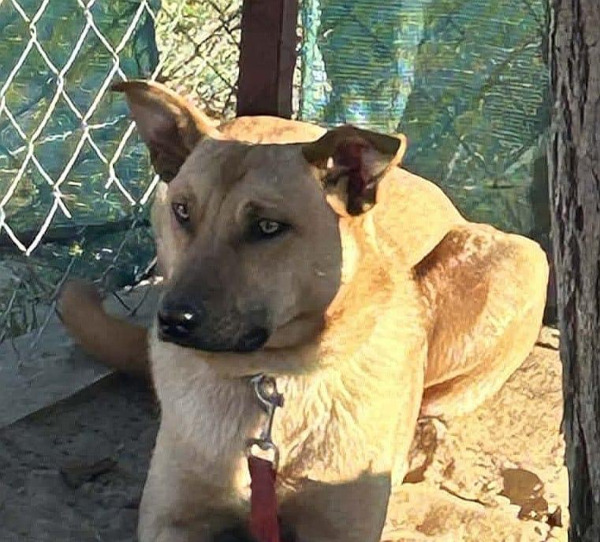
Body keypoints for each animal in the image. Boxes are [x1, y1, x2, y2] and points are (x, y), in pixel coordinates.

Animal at [57, 80, 549, 542]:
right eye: (182, 211)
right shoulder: (172, 518)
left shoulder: (341, 527)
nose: (173, 321)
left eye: (267, 226)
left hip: (520, 259)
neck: (272, 377)